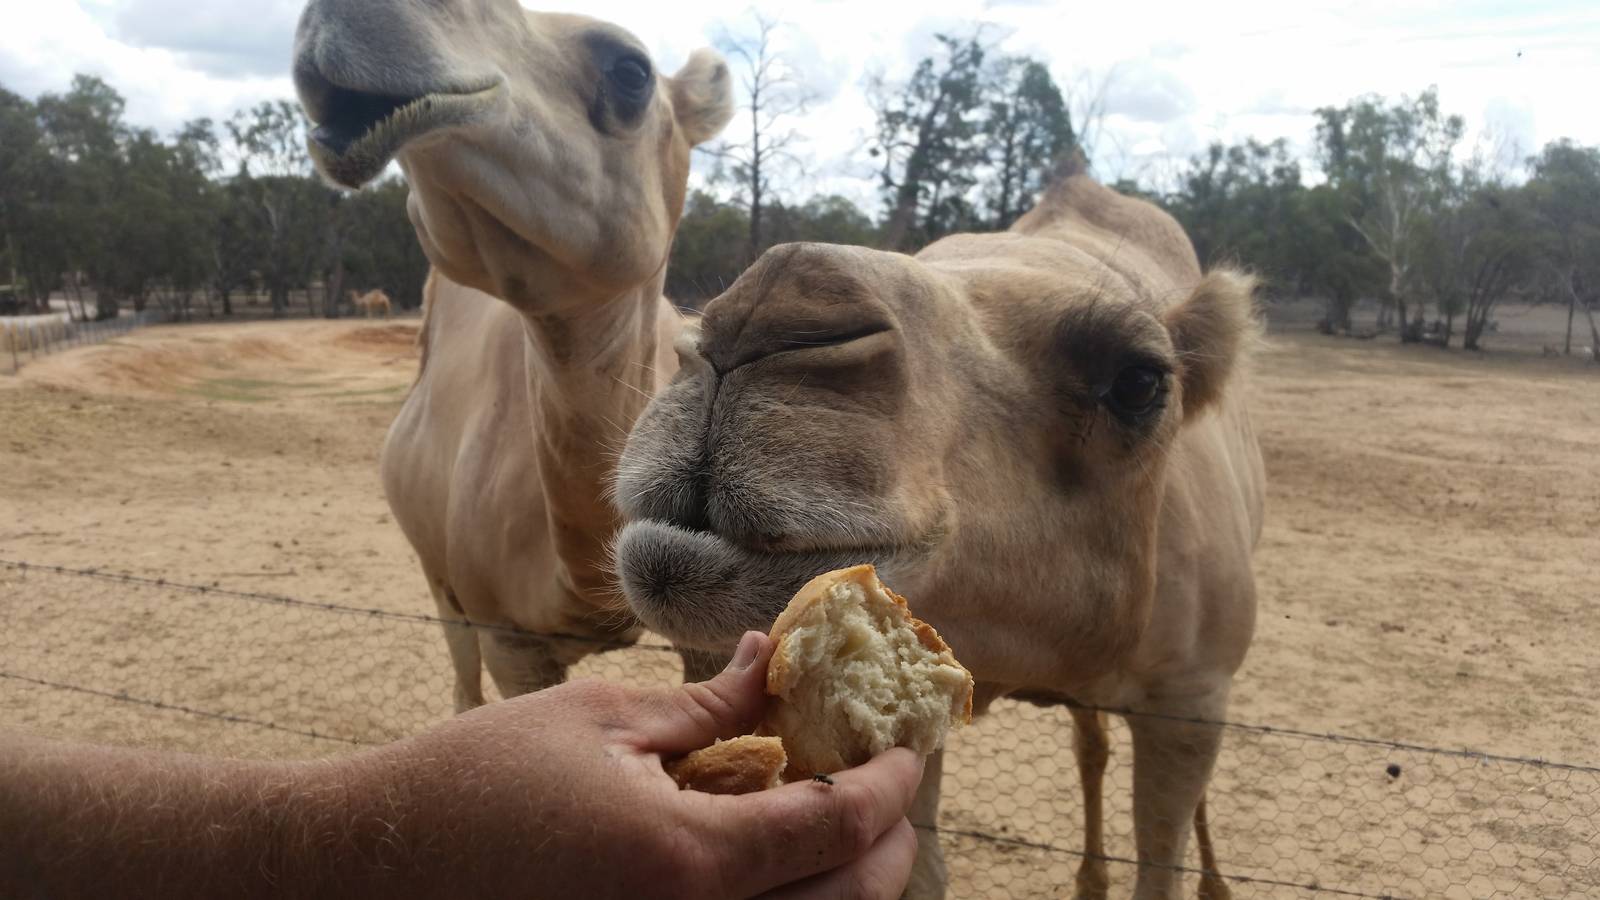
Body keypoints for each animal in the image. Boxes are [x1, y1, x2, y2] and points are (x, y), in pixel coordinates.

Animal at [614, 161, 1264, 900]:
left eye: (1138, 382)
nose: (759, 314)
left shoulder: (1192, 698)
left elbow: (1161, 867)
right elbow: (922, 864)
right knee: (1090, 743)